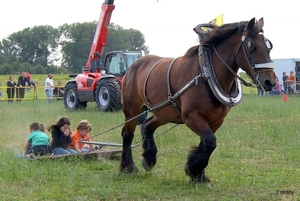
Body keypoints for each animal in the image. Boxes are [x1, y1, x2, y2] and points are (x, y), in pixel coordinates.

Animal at [119, 18, 276, 185]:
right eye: (252, 46)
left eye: (269, 46)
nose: (270, 82)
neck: (206, 73)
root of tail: (134, 65)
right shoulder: (191, 116)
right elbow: (210, 141)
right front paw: (194, 169)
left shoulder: (216, 120)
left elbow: (206, 143)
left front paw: (198, 174)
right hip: (132, 110)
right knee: (127, 134)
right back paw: (127, 167)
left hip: (164, 112)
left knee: (147, 126)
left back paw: (148, 159)